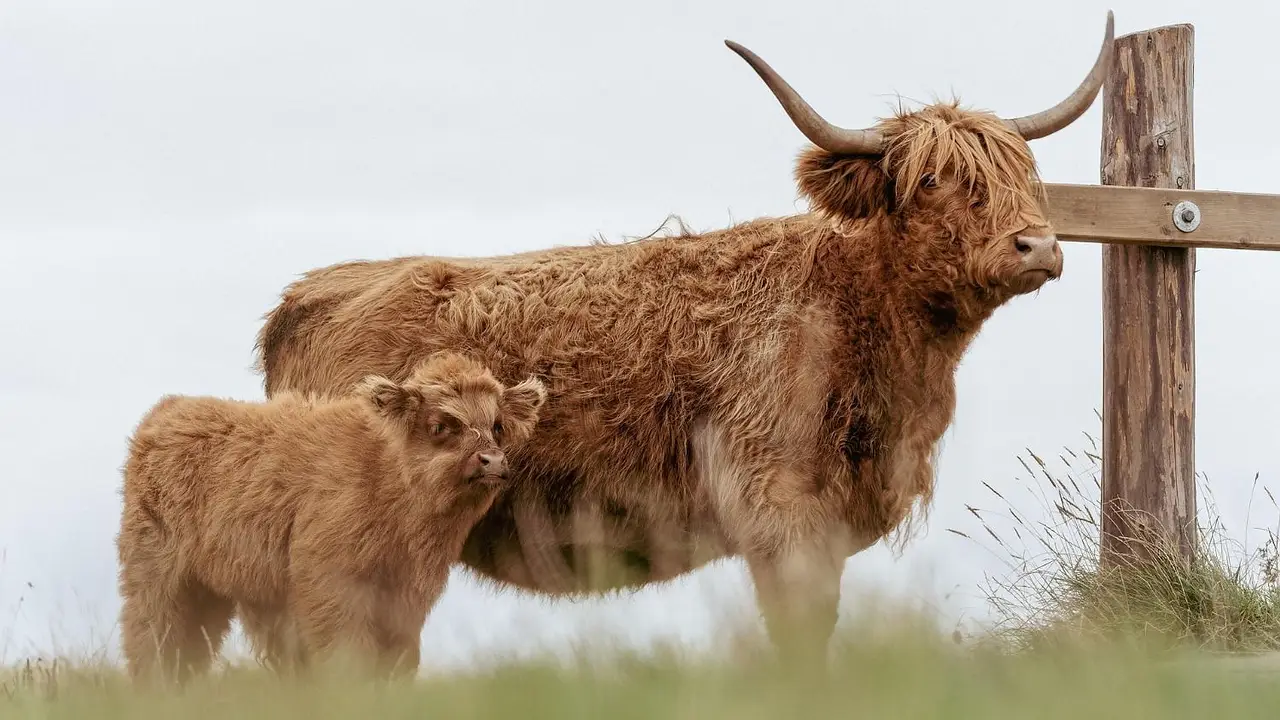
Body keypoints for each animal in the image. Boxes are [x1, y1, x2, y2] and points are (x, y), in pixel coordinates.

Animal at [116, 352, 548, 684]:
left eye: (497, 425)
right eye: (440, 425)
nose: (492, 461)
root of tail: (169, 410)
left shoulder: (407, 594)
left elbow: (399, 660)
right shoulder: (332, 583)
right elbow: (348, 656)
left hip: (215, 590)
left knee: (189, 651)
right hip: (159, 577)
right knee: (152, 640)